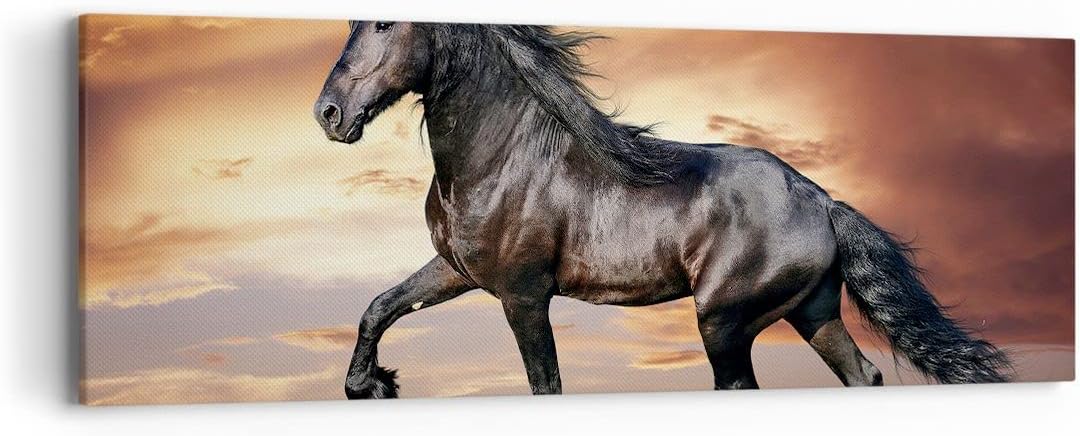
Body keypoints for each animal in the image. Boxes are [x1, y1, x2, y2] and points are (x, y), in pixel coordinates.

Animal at [313, 22, 1011, 399]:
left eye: (383, 25)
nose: (328, 114)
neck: (504, 156)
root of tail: (821, 200)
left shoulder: (523, 296)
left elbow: (546, 385)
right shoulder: (458, 271)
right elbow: (379, 307)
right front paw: (370, 384)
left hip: (726, 323)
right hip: (812, 313)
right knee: (862, 376)